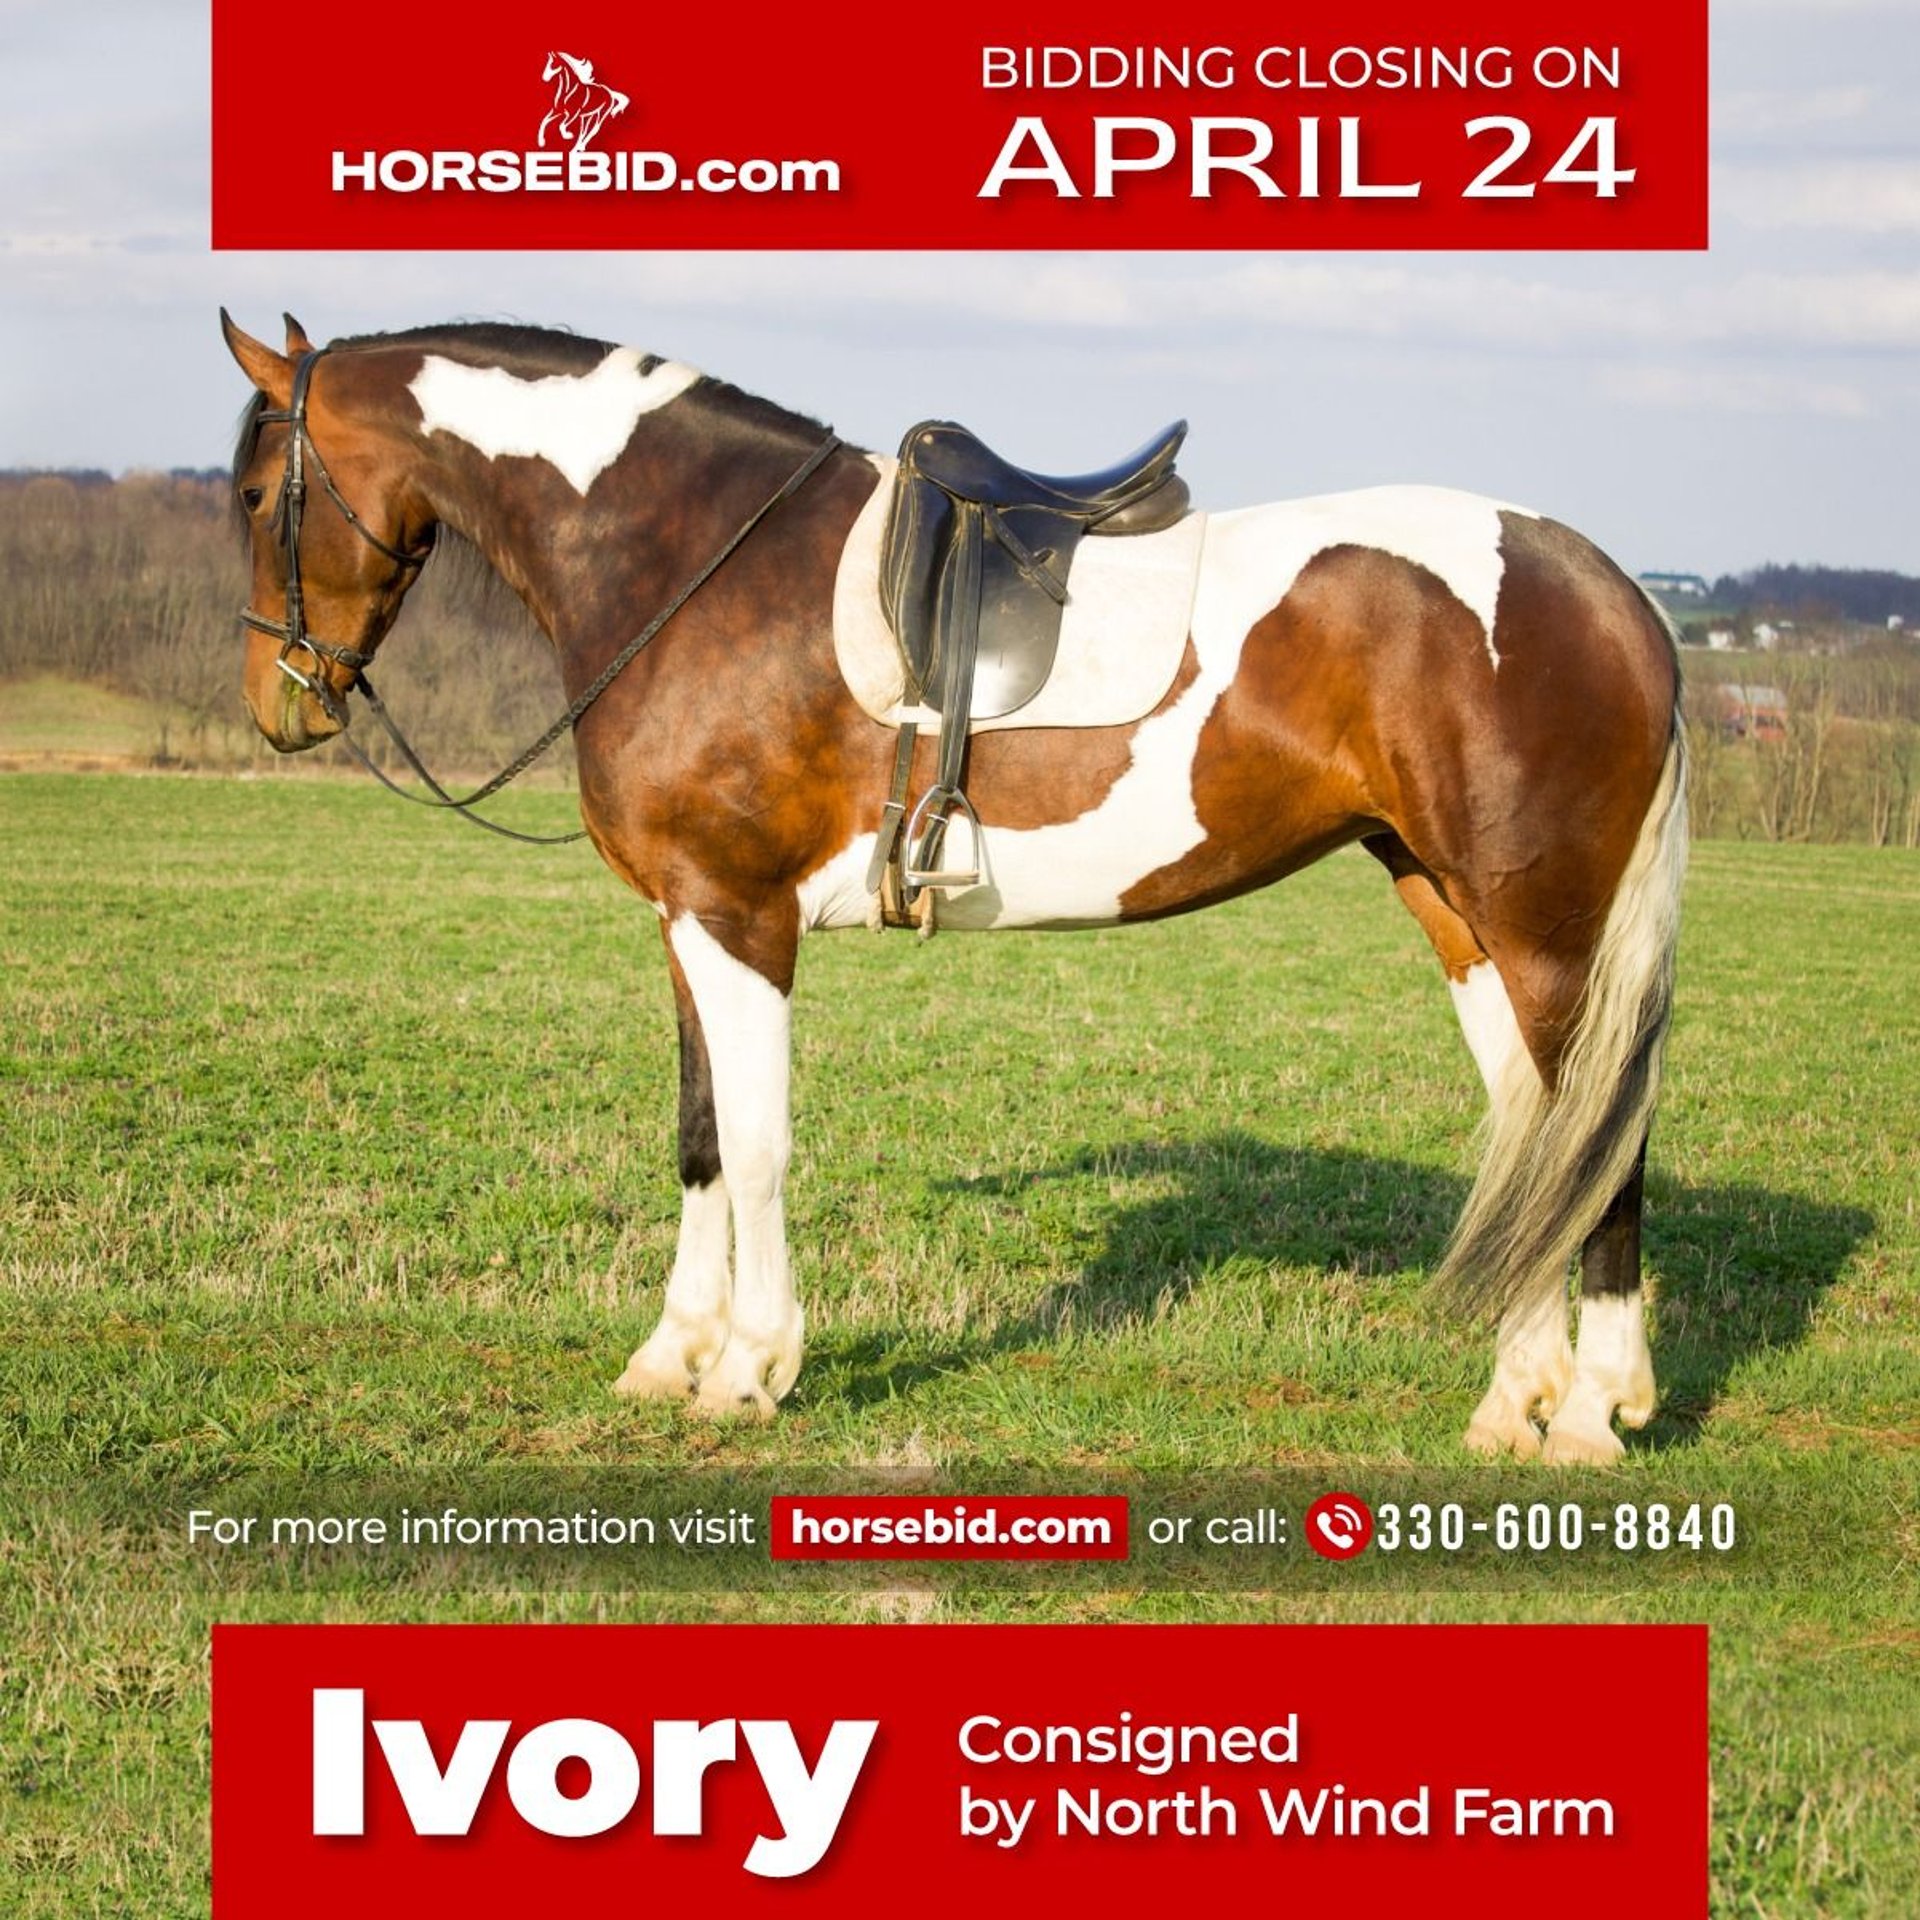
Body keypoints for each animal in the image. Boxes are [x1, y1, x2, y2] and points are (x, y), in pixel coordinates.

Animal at [221, 311, 1688, 1465]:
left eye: (250, 496)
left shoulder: (741, 918)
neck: (693, 558)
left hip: (1548, 934)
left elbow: (759, 1142)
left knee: (1601, 1145)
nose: (281, 705)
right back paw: (1514, 1404)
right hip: (1457, 912)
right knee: (1539, 1142)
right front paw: (667, 1357)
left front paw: (750, 1369)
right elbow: (701, 1140)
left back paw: (1591, 1414)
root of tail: (1618, 593)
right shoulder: (685, 918)